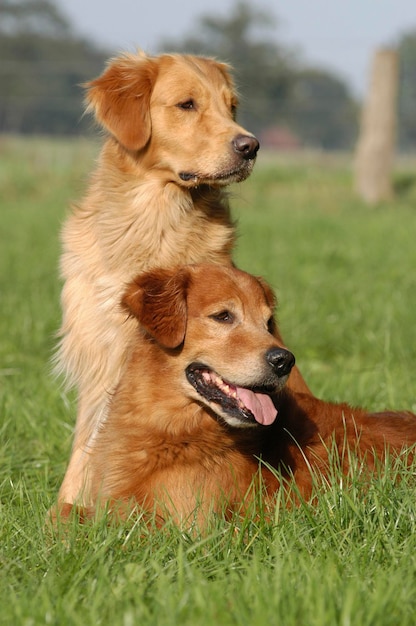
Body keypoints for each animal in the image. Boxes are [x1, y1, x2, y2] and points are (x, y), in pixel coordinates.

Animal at [54, 51, 308, 510]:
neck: (157, 223)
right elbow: (87, 450)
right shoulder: (100, 358)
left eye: (232, 107)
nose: (251, 146)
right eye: (187, 105)